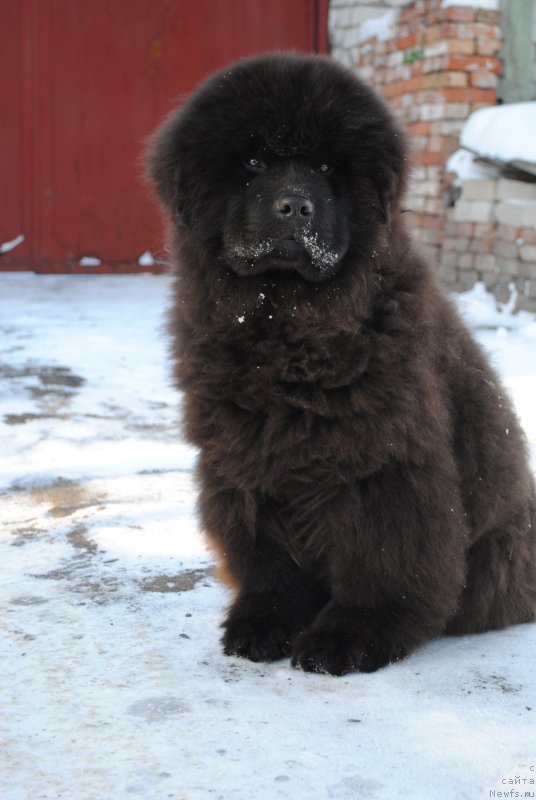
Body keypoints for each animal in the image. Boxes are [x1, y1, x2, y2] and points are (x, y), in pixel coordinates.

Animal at [149, 51, 536, 676]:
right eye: (254, 161)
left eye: (328, 166)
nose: (295, 206)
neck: (287, 328)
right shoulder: (244, 461)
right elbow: (269, 559)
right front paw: (265, 623)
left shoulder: (381, 464)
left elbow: (381, 560)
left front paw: (350, 636)